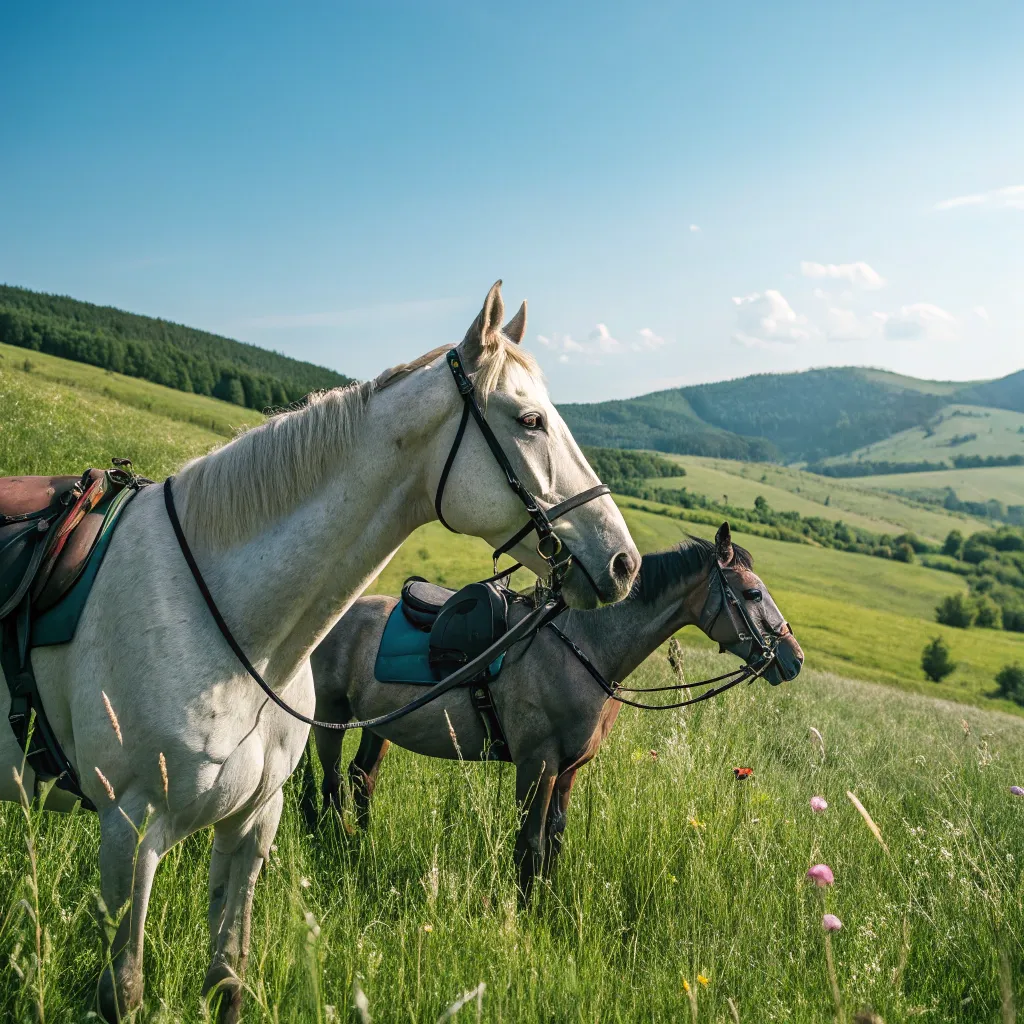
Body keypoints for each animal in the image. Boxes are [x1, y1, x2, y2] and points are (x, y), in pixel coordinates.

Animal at [2, 282, 638, 1024]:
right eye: (531, 420)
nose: (624, 562)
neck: (231, 626)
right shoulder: (128, 834)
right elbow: (122, 990)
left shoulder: (252, 823)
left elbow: (228, 975)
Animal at [299, 528, 802, 897]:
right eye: (752, 594)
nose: (792, 658)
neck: (584, 649)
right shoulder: (537, 763)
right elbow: (530, 845)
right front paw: (524, 914)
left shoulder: (568, 770)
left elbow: (554, 842)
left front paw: (545, 904)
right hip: (331, 717)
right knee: (328, 783)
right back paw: (331, 842)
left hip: (379, 726)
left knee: (362, 778)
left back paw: (361, 846)